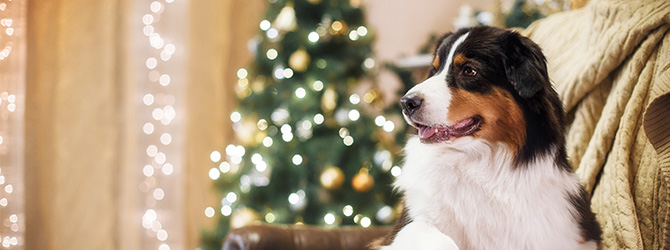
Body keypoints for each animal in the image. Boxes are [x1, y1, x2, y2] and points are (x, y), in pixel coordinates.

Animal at [372, 26, 604, 249]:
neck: (480, 161)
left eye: (469, 70)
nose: (406, 103)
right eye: (435, 69)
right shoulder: (405, 226)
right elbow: (436, 237)